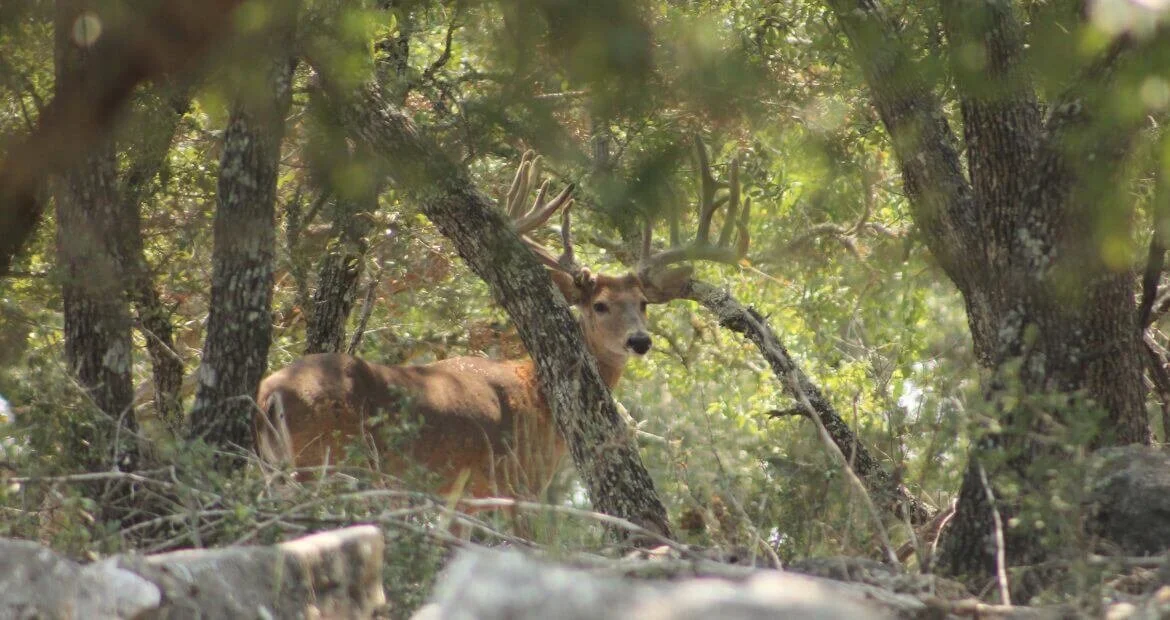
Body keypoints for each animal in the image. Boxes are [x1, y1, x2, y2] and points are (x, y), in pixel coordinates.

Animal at [254, 142, 749, 506]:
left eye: (643, 303)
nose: (640, 340)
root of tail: (270, 394)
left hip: (275, 468)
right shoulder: (516, 482)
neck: (538, 397)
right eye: (600, 305)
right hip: (324, 463)